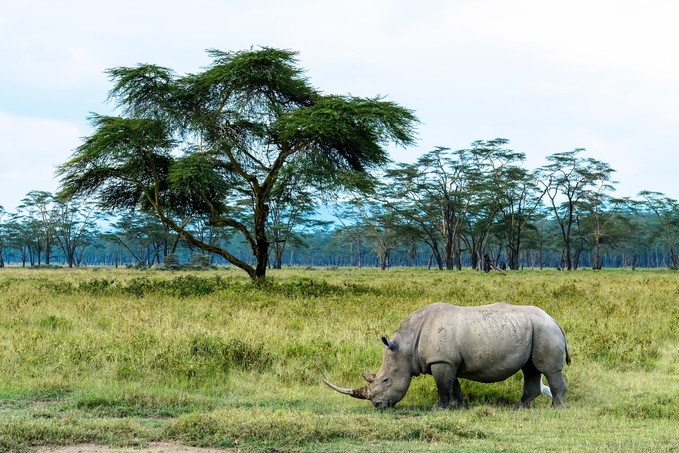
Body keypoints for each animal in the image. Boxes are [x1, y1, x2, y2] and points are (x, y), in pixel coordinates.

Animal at [324, 302, 570, 409]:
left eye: (385, 380)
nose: (377, 405)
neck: (406, 346)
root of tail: (555, 319)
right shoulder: (448, 361)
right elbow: (454, 385)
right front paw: (457, 406)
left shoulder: (441, 361)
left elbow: (443, 386)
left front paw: (438, 408)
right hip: (535, 330)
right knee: (530, 369)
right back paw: (520, 407)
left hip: (545, 330)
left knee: (548, 370)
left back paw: (555, 407)